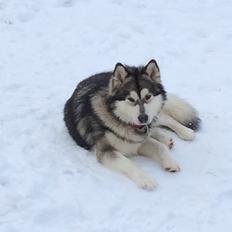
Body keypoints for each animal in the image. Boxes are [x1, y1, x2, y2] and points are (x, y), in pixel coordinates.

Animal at [63, 59, 199, 190]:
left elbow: (160, 147)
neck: (121, 120)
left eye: (148, 96)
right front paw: (146, 179)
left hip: (155, 115)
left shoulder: (139, 141)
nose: (143, 118)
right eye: (131, 99)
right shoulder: (106, 150)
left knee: (164, 119)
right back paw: (166, 138)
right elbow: (129, 163)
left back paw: (185, 132)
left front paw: (170, 162)